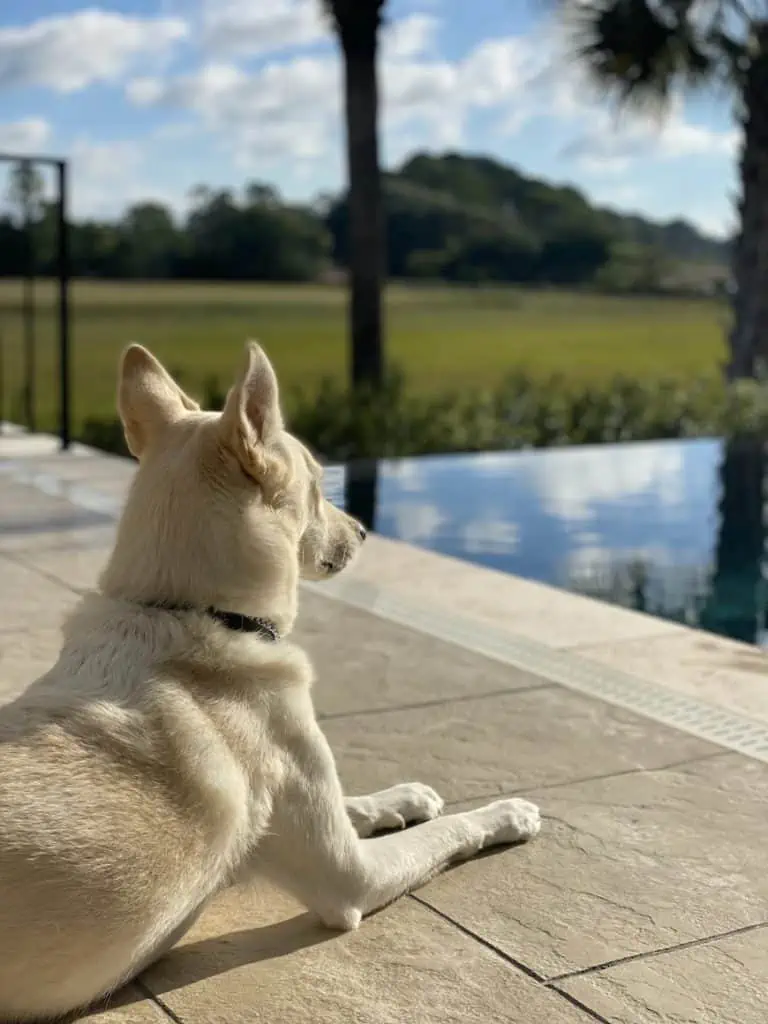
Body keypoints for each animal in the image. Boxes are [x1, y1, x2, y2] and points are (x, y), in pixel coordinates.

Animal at [0, 346, 540, 1024]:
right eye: (318, 485)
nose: (364, 531)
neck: (191, 611)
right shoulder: (350, 876)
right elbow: (449, 832)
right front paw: (506, 812)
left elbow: (355, 802)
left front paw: (404, 798)